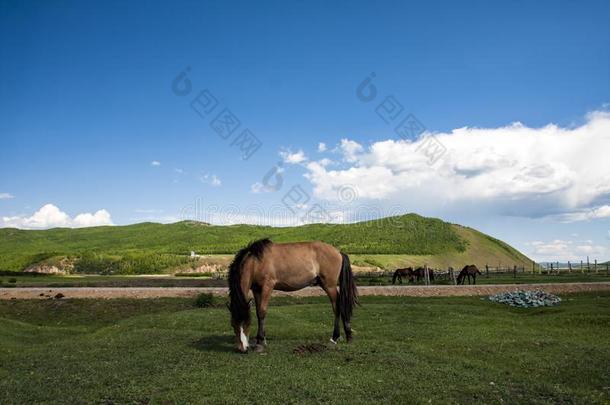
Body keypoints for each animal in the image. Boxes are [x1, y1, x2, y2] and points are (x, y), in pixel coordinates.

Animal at [227, 238, 356, 352]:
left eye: (247, 323)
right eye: (233, 324)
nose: (242, 348)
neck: (256, 262)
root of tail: (339, 252)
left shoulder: (267, 287)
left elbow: (262, 311)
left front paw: (260, 343)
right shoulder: (256, 290)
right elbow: (259, 314)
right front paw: (262, 339)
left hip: (329, 286)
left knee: (337, 306)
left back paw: (335, 337)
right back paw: (347, 335)